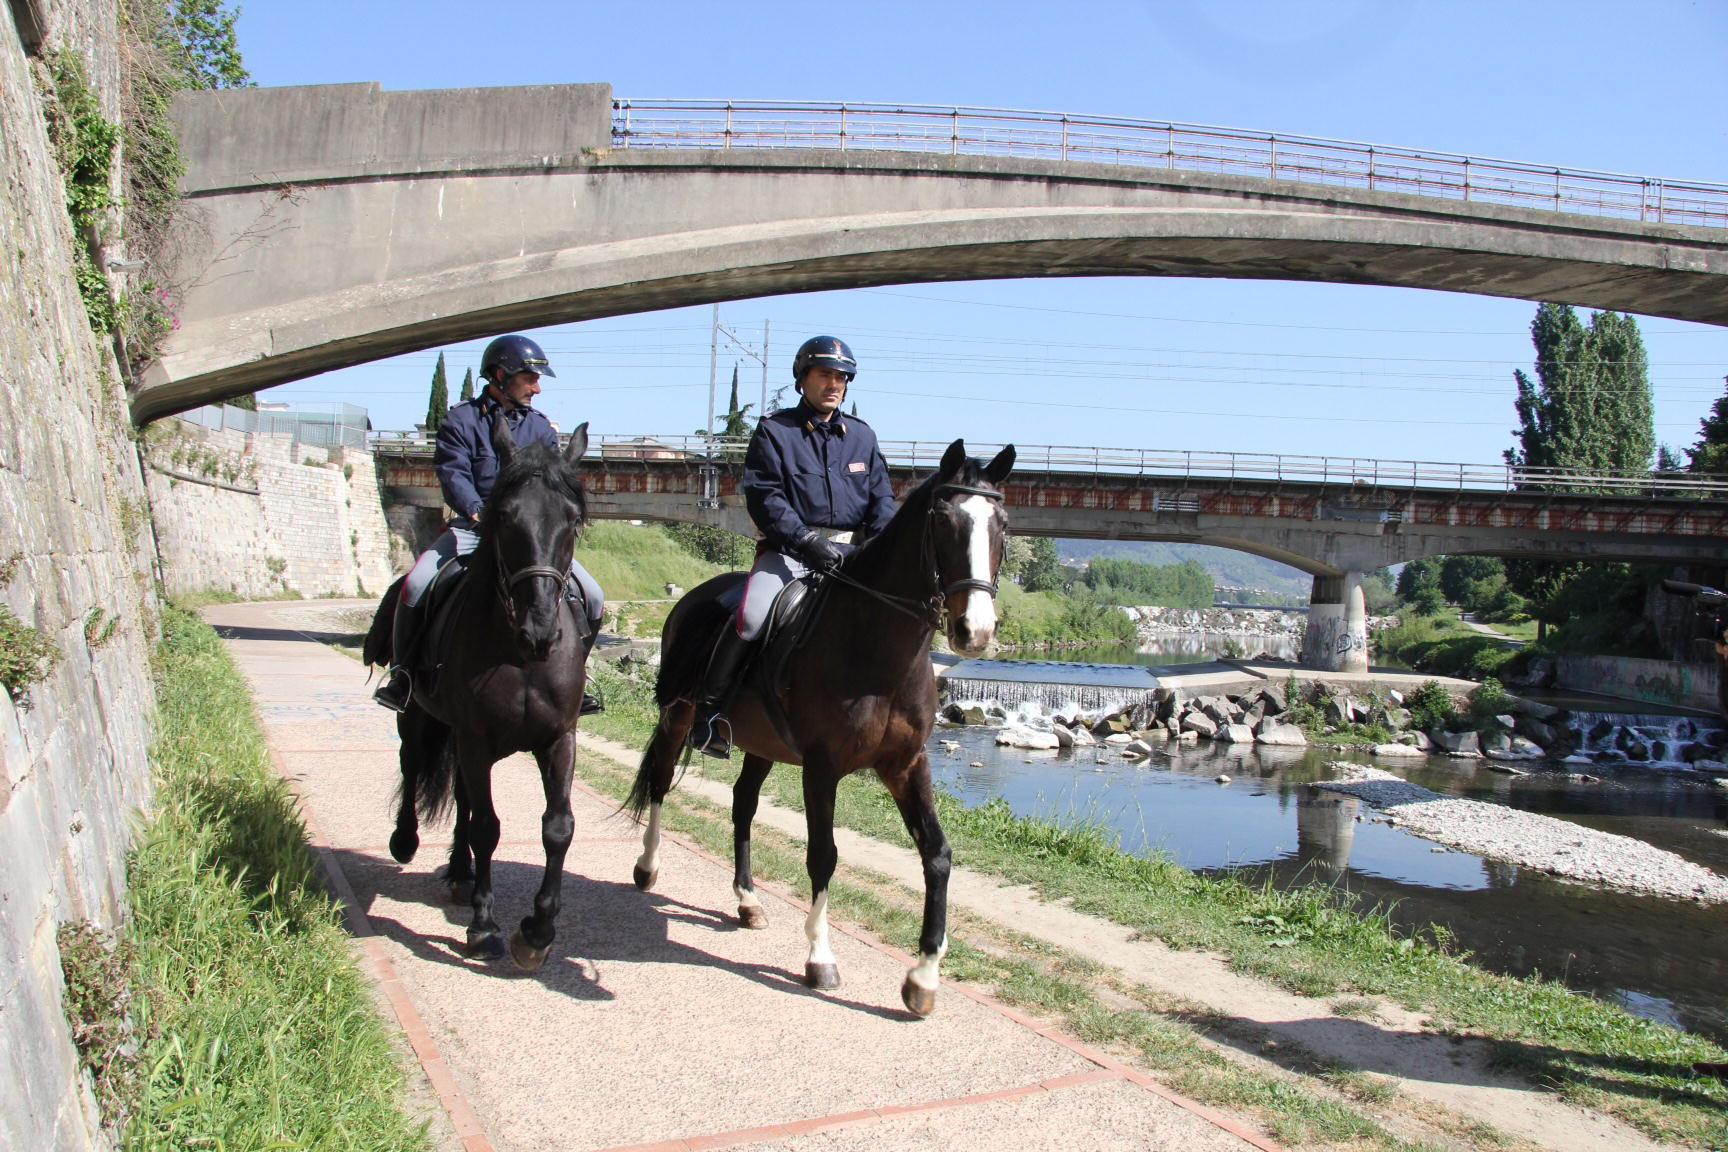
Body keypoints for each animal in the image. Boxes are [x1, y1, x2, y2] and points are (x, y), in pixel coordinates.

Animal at [363, 417, 595, 971]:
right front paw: (484, 927)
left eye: (573, 520)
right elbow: (488, 827)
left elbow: (558, 827)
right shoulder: (473, 739)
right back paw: (407, 842)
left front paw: (537, 932)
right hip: (420, 719)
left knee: (464, 799)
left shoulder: (558, 739)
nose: (541, 632)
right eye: (506, 516)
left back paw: (459, 871)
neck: (520, 656)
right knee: (413, 765)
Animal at [626, 438, 1014, 1017]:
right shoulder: (822, 767)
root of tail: (696, 596)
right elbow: (824, 855)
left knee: (743, 804)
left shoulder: (907, 765)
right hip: (677, 715)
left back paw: (748, 901)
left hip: (759, 743)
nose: (976, 632)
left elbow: (938, 856)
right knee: (658, 782)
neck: (878, 649)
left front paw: (923, 978)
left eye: (1002, 524)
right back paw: (647, 868)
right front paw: (820, 957)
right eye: (943, 521)